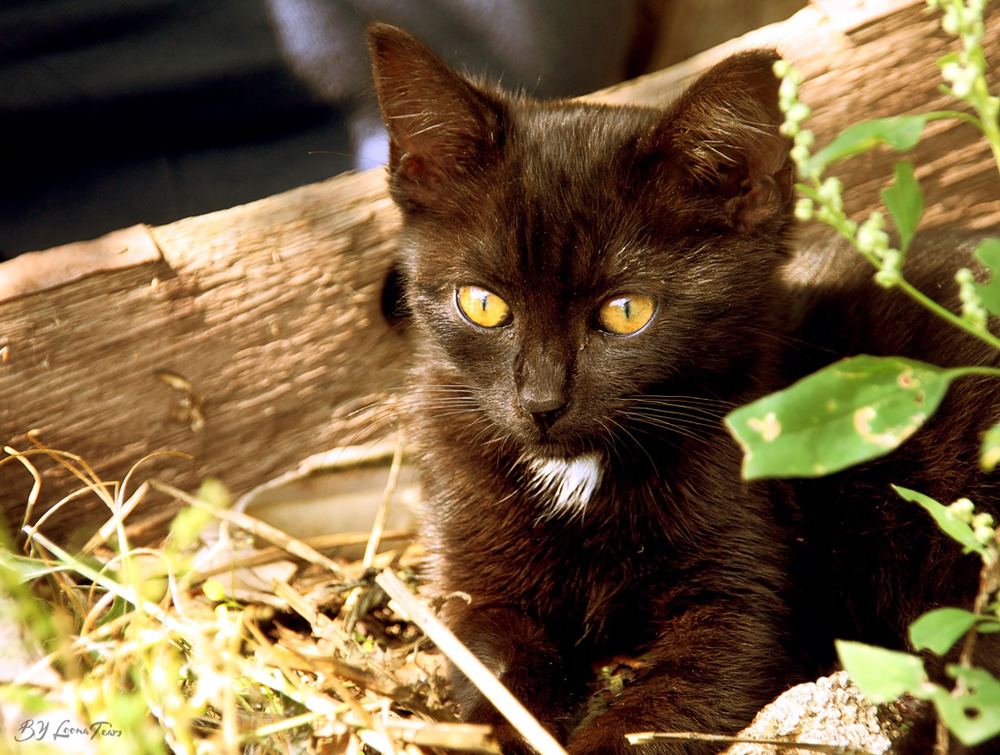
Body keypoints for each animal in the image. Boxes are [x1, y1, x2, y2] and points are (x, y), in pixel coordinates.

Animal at [368, 23, 1000, 755]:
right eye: (483, 304)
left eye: (626, 312)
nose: (541, 403)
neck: (577, 473)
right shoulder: (474, 578)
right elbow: (491, 665)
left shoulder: (751, 599)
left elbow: (671, 702)